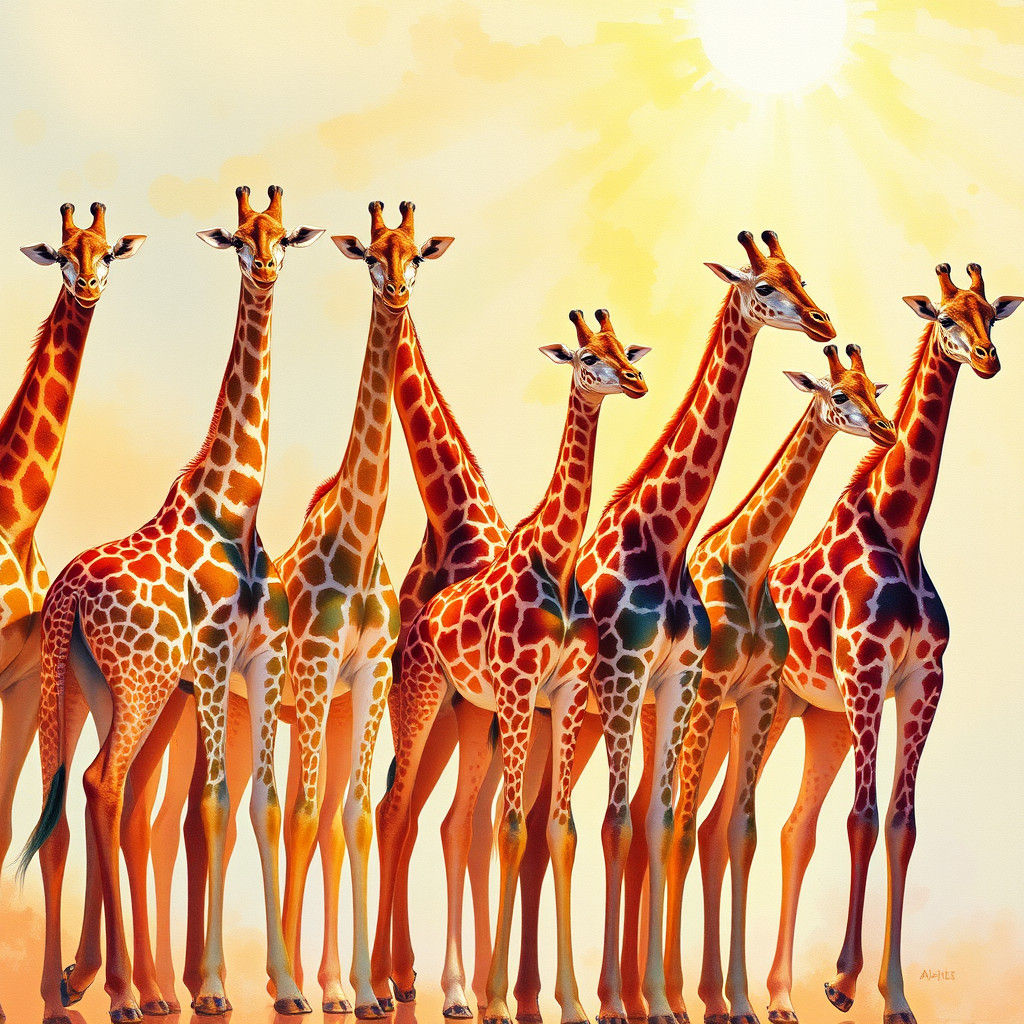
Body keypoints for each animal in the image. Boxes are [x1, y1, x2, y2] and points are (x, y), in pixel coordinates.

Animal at [18, 185, 323, 1023]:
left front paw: (286, 988)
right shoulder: (214, 664)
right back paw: (119, 991)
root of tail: (67, 594)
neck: (235, 507)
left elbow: (264, 803)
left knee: (95, 799)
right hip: (138, 684)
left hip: (104, 687)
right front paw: (214, 987)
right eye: (240, 238)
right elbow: (214, 802)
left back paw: (102, 986)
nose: (266, 267)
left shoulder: (263, 663)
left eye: (283, 235)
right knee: (101, 787)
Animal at [376, 309, 650, 1024]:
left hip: (474, 714)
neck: (559, 558)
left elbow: (557, 830)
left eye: (623, 348)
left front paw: (572, 1003)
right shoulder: (521, 690)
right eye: (588, 356)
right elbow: (511, 829)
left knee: (446, 820)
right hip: (422, 700)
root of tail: (416, 622)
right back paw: (382, 986)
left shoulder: (567, 694)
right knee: (394, 810)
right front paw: (499, 1000)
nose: (635, 380)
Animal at [571, 231, 835, 1024]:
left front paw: (665, 1000)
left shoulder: (684, 683)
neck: (663, 537)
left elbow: (668, 824)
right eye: (762, 285)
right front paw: (622, 1001)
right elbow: (623, 823)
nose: (822, 321)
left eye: (798, 273)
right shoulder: (628, 677)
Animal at [621, 343, 895, 1024]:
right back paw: (644, 994)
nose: (884, 429)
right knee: (654, 815)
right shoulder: (709, 689)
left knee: (676, 819)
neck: (747, 564)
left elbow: (736, 832)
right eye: (840, 394)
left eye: (871, 390)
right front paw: (686, 998)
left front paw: (737, 1000)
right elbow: (682, 827)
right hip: (668, 714)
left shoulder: (758, 696)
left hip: (714, 725)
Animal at [757, 263, 1021, 1024]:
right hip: (764, 708)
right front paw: (843, 982)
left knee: (792, 828)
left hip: (819, 719)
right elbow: (864, 818)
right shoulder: (867, 673)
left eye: (991, 313)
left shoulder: (922, 681)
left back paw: (775, 995)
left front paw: (895, 996)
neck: (900, 531)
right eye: (945, 318)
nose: (988, 360)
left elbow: (902, 824)